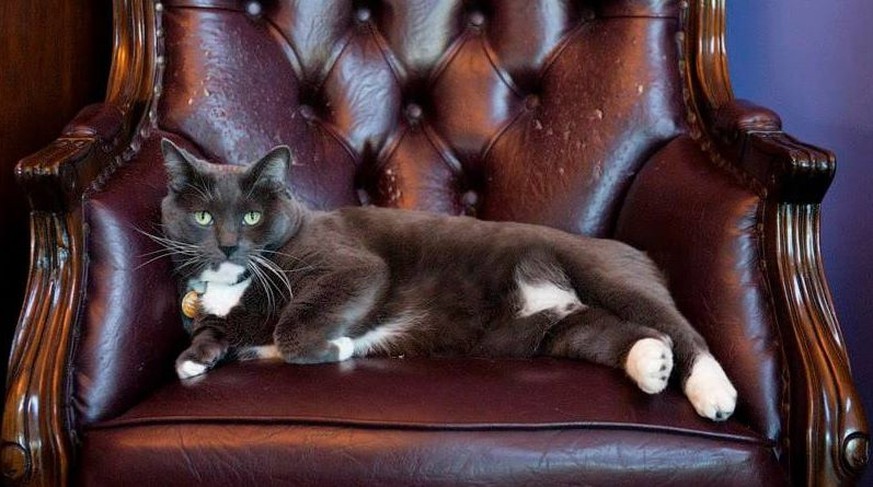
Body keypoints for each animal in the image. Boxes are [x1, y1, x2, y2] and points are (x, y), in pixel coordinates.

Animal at [155, 139, 736, 422]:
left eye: (252, 217)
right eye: (203, 217)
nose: (228, 244)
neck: (235, 282)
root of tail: (636, 250)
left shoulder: (350, 265)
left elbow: (294, 328)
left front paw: (339, 347)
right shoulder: (221, 317)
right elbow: (211, 335)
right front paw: (193, 361)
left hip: (606, 275)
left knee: (681, 331)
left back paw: (714, 393)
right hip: (561, 330)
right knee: (626, 335)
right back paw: (652, 365)